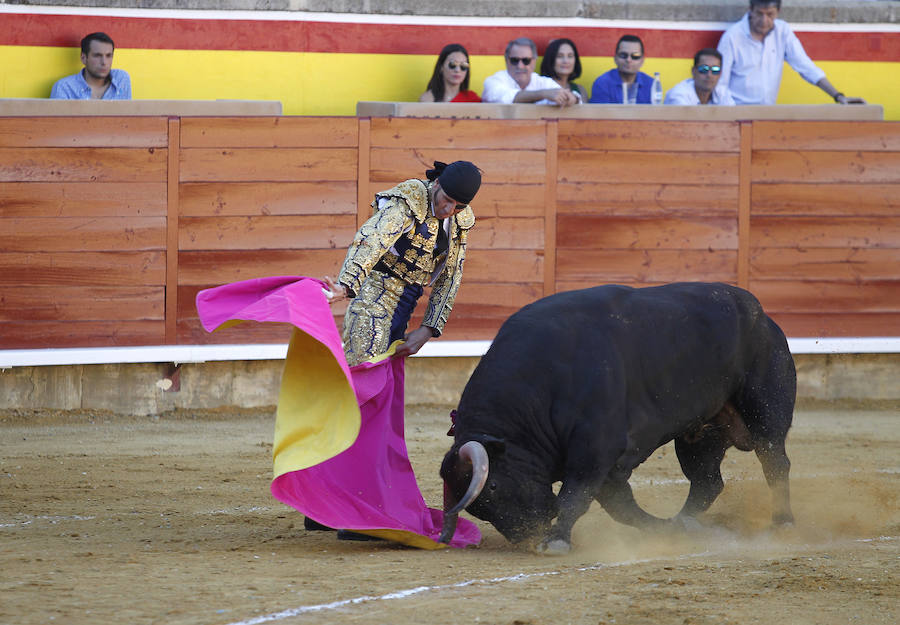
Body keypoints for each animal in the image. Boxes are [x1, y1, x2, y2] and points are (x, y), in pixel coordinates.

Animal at [438, 282, 796, 552]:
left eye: (493, 485)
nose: (528, 536)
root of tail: (762, 316)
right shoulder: (607, 467)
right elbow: (622, 508)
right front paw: (662, 530)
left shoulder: (595, 451)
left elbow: (576, 496)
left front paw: (555, 541)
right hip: (700, 434)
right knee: (708, 481)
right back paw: (683, 523)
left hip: (767, 413)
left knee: (775, 462)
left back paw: (783, 524)